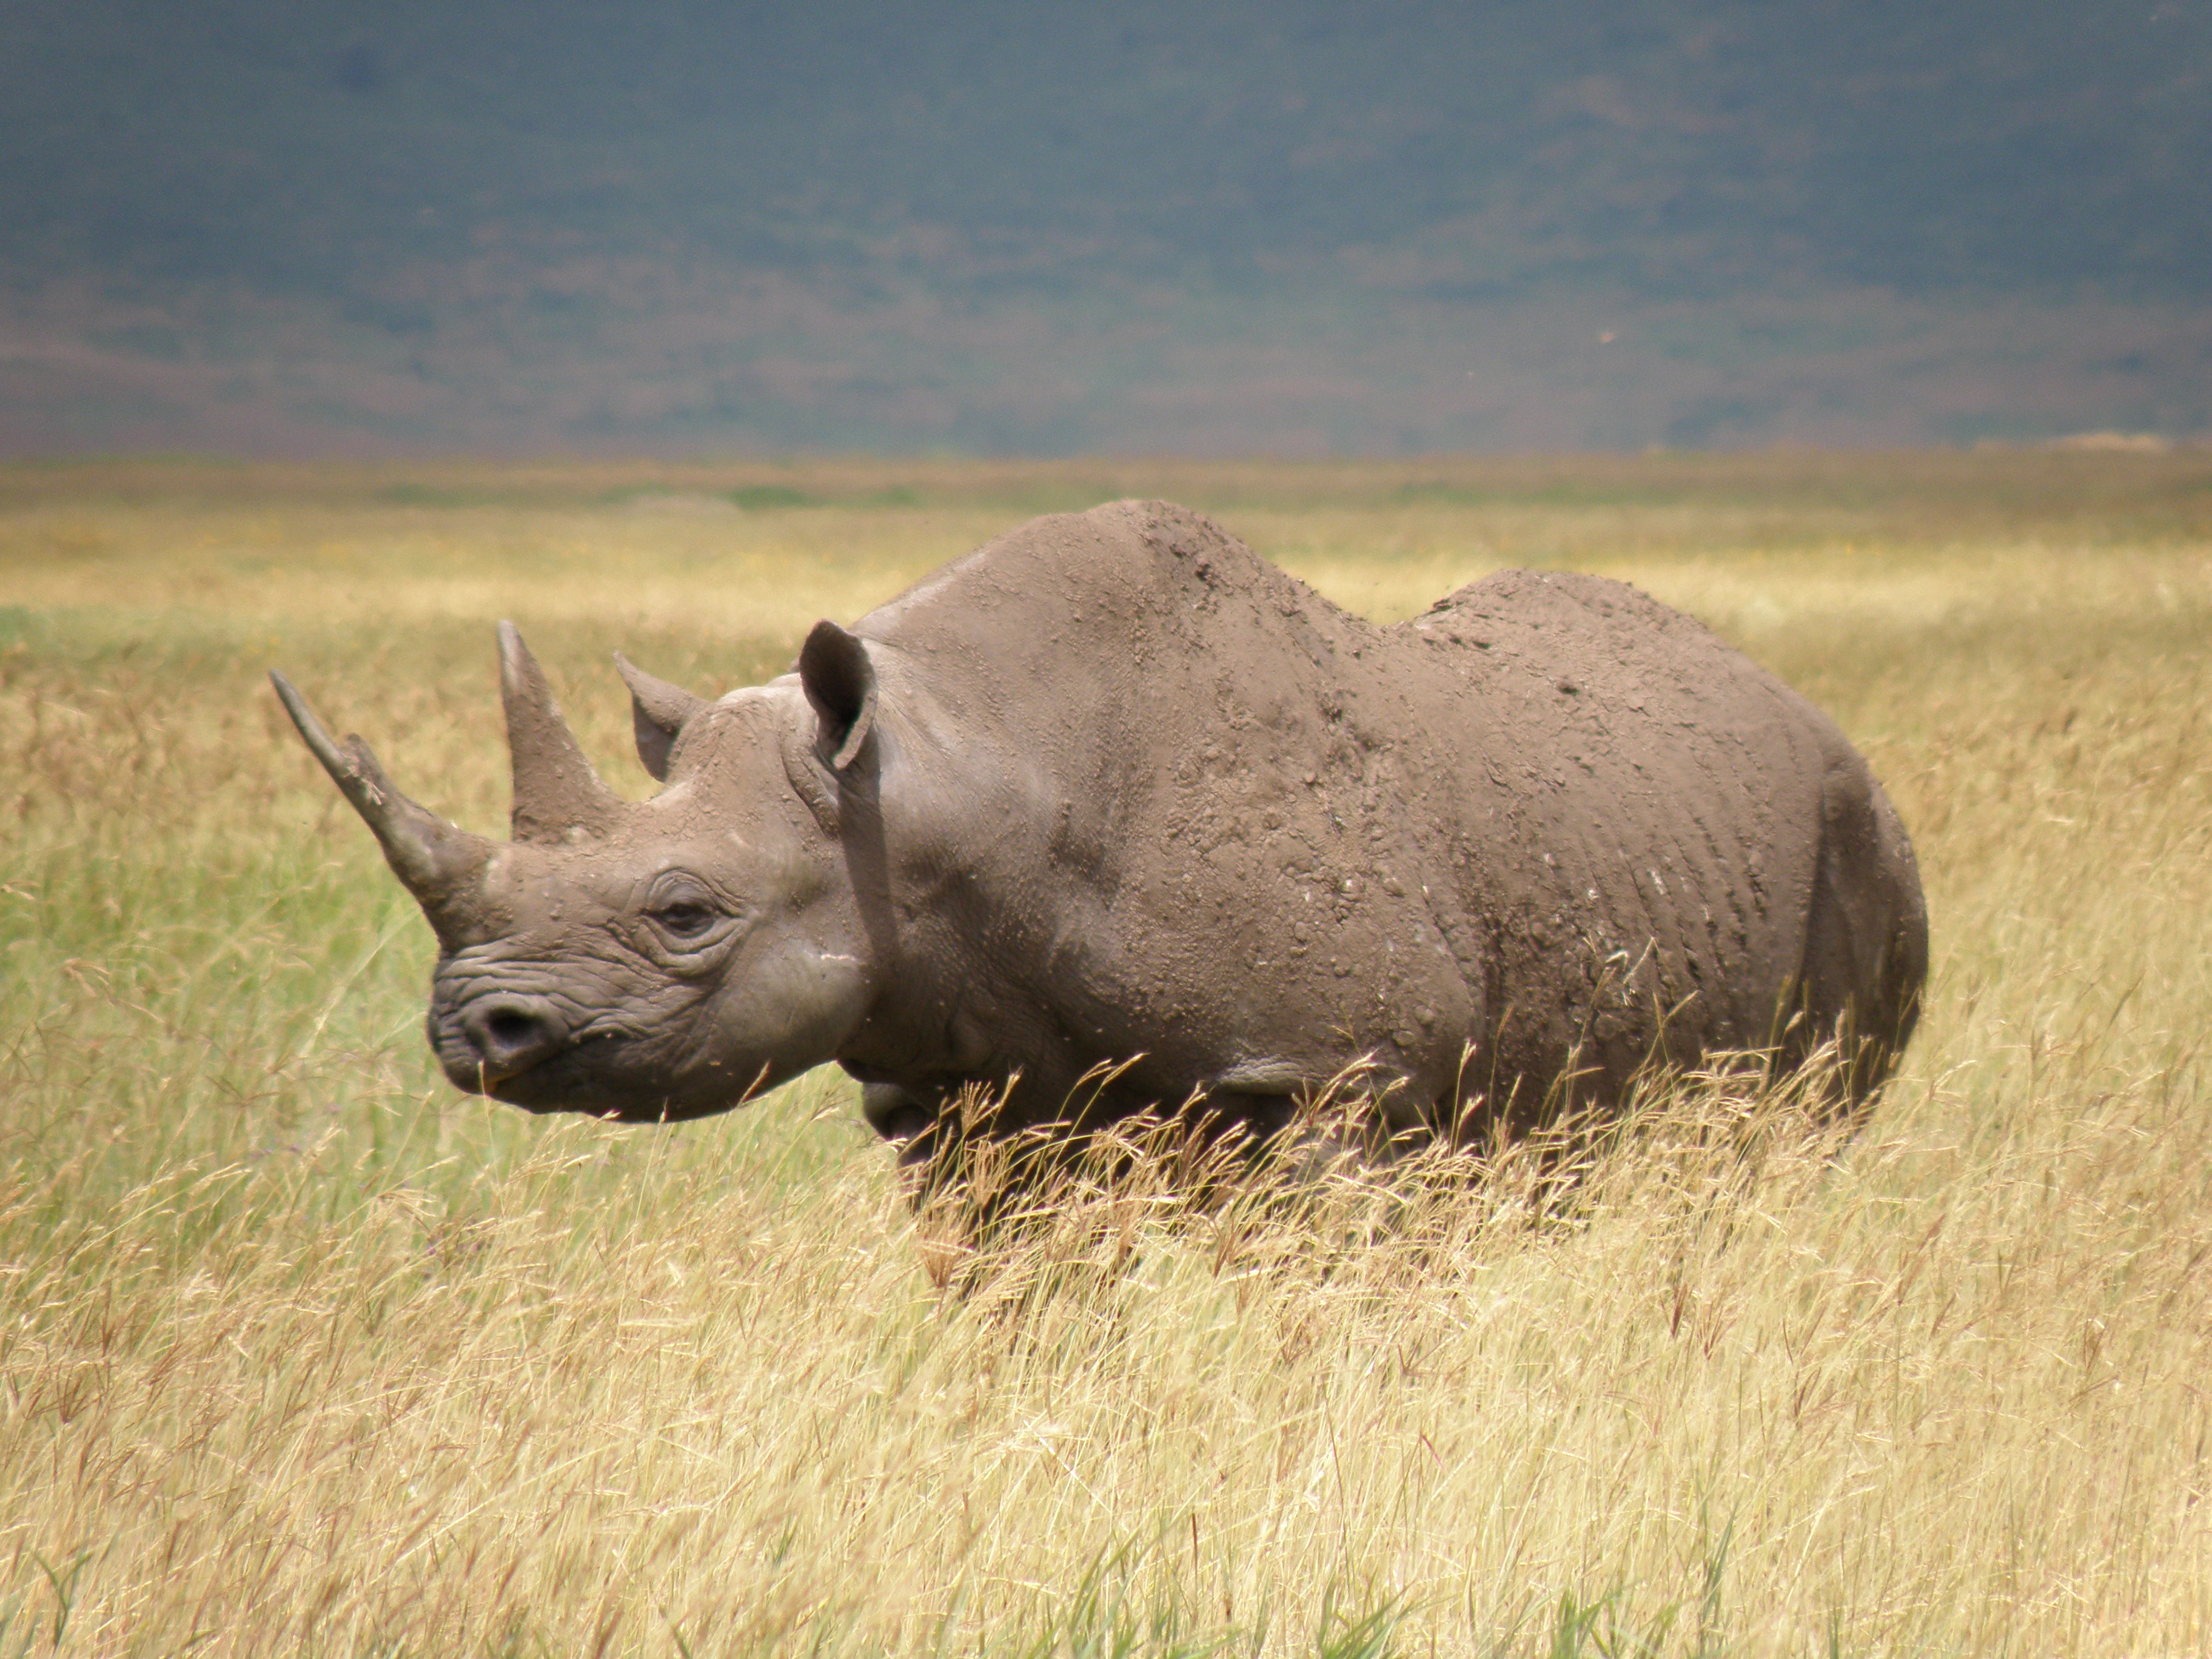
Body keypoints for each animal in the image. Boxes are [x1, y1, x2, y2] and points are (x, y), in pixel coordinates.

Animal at [276, 500, 1929, 1159]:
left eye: (684, 914)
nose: (473, 1033)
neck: (942, 776)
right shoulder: (952, 1089)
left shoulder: (1336, 1075)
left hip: (1861, 828)